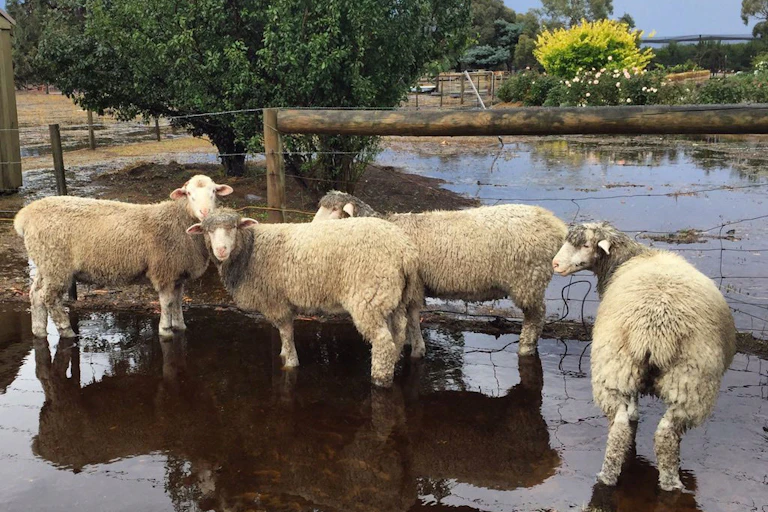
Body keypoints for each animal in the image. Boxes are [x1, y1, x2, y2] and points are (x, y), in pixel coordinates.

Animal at [14, 175, 233, 338]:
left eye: (213, 192)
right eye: (188, 194)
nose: (205, 212)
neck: (180, 222)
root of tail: (24, 216)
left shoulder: (178, 272)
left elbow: (178, 301)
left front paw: (180, 326)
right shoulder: (164, 270)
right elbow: (167, 302)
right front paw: (165, 330)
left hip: (45, 262)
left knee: (35, 294)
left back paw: (39, 330)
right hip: (56, 264)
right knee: (49, 297)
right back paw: (66, 331)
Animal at [186, 209, 422, 387]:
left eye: (233, 227)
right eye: (207, 231)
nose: (221, 250)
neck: (251, 251)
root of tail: (405, 251)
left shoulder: (277, 301)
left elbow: (286, 332)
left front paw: (290, 362)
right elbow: (284, 334)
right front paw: (284, 353)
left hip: (369, 297)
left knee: (382, 341)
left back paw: (380, 379)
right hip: (393, 297)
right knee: (398, 332)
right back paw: (393, 362)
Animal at [312, 191, 568, 356]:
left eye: (333, 214)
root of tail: (556, 225)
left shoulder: (414, 287)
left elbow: (412, 318)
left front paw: (416, 349)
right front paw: (409, 343)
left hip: (529, 279)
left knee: (536, 316)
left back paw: (525, 348)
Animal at [552, 221, 736, 492]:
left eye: (585, 245)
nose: (554, 264)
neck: (634, 257)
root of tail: (654, 330)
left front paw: (634, 415)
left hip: (624, 369)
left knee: (623, 428)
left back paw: (612, 476)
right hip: (684, 379)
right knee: (663, 434)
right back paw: (669, 482)